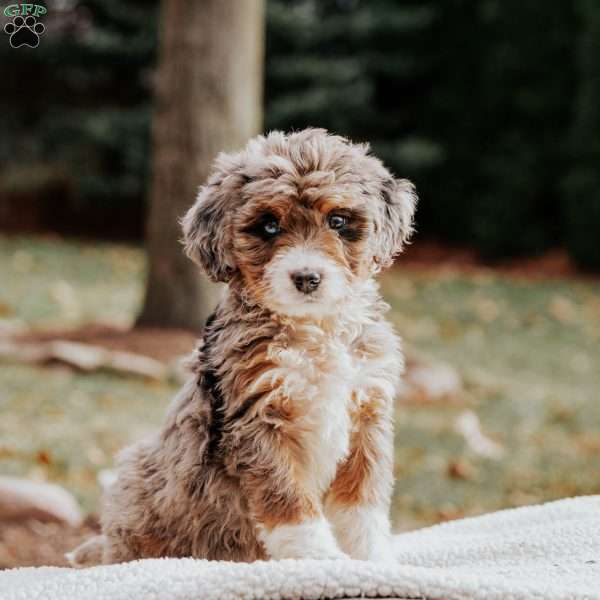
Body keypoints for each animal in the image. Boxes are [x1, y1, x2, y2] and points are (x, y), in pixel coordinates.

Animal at [71, 129, 418, 564]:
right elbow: (288, 500)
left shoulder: (367, 412)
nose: (307, 278)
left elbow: (362, 501)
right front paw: (315, 556)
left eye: (337, 221)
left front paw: (371, 558)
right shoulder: (258, 418)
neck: (315, 329)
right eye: (269, 226)